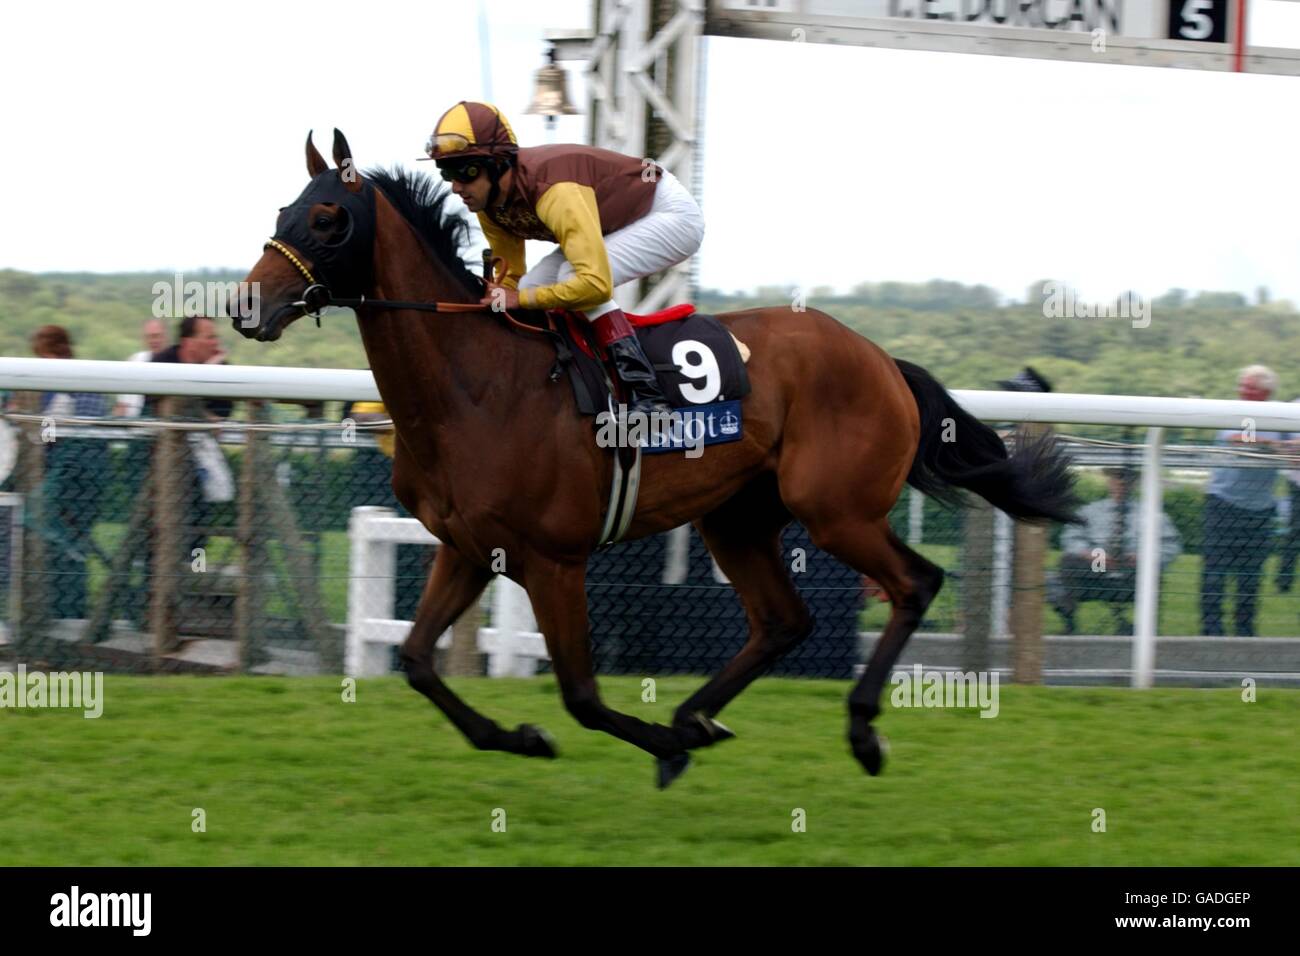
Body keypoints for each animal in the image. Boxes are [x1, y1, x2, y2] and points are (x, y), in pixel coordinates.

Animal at [231, 130, 1076, 790]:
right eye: (281, 213)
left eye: (328, 217)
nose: (245, 305)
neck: (475, 385)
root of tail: (881, 359)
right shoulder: (469, 549)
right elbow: (415, 660)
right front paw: (523, 737)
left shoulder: (554, 559)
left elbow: (579, 693)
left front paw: (650, 745)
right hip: (739, 518)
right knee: (784, 619)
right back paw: (699, 715)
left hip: (835, 508)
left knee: (914, 582)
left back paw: (859, 730)